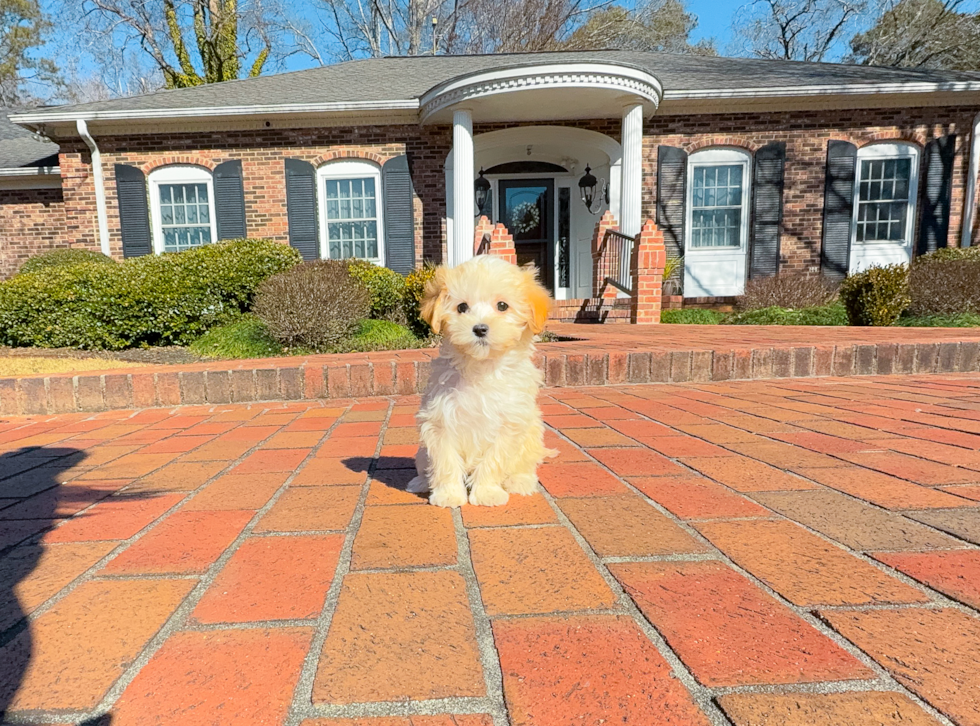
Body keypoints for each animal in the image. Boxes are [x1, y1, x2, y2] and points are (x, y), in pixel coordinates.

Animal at [408, 258, 560, 510]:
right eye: (461, 307)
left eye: (502, 305)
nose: (479, 328)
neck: (481, 368)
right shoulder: (439, 420)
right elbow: (445, 461)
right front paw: (449, 494)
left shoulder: (509, 425)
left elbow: (494, 461)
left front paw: (487, 492)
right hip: (421, 451)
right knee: (424, 464)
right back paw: (420, 482)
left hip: (532, 434)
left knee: (525, 464)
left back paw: (520, 481)